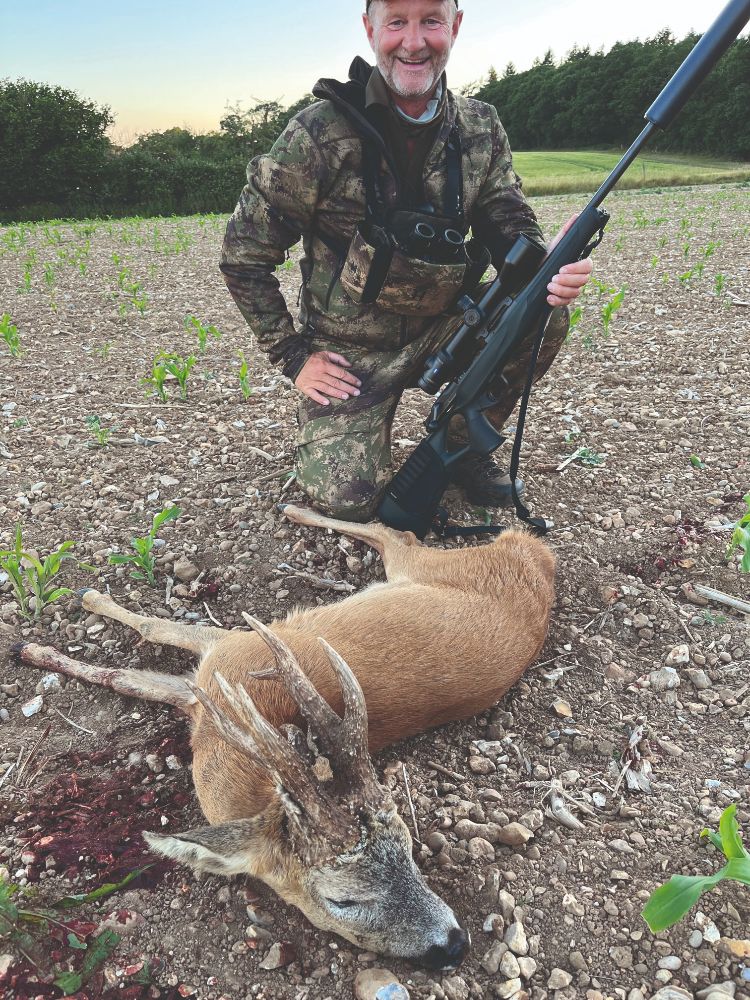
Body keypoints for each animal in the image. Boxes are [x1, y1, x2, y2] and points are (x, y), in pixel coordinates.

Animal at [17, 508, 560, 968]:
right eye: (343, 898)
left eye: (410, 851)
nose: (454, 944)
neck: (225, 744)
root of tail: (536, 556)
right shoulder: (216, 671)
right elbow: (130, 670)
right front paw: (46, 643)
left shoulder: (228, 650)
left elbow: (149, 635)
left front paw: (78, 609)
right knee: (395, 532)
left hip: (423, 562)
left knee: (397, 532)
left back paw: (296, 509)